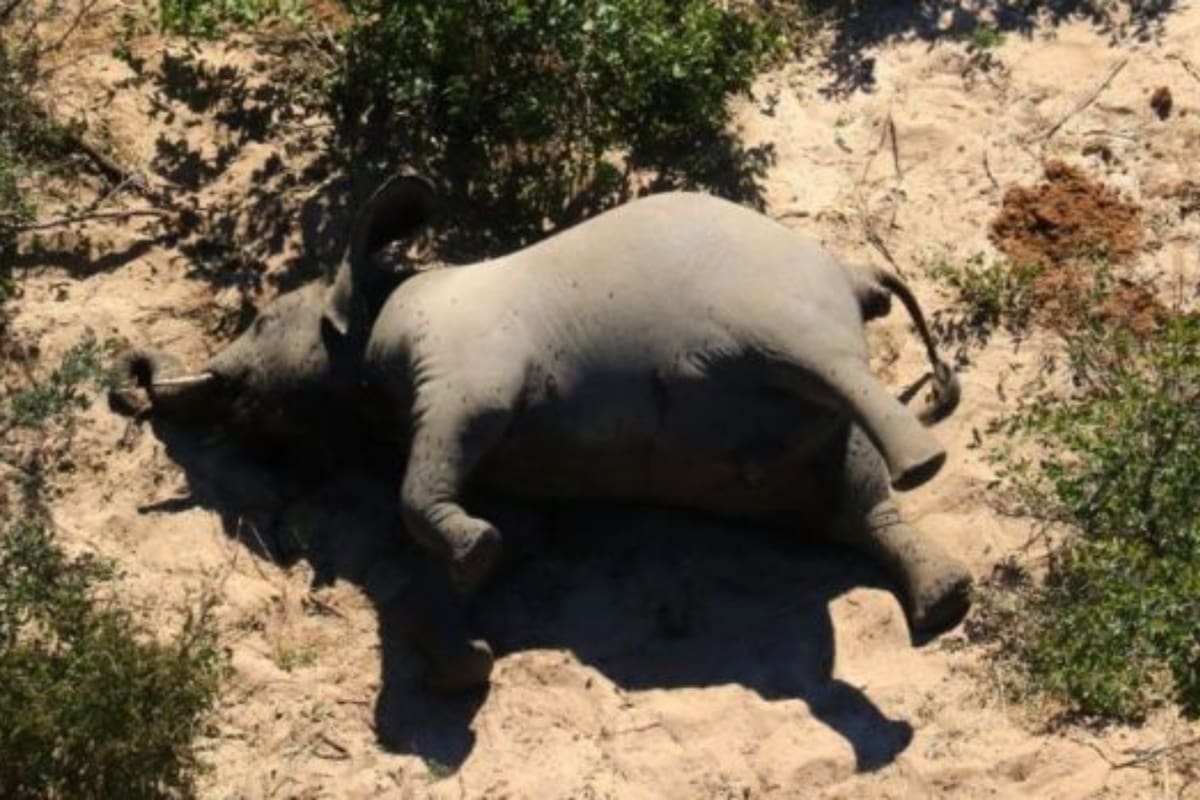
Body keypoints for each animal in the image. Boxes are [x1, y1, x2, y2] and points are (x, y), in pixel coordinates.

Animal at [110, 174, 971, 692]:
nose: (131, 387)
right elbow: (506, 531)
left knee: (832, 378)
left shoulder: (465, 367)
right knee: (852, 501)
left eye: (261, 321)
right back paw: (946, 603)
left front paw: (472, 563)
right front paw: (465, 643)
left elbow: (423, 483)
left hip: (780, 311)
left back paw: (926, 468)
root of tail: (855, 275)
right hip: (798, 447)